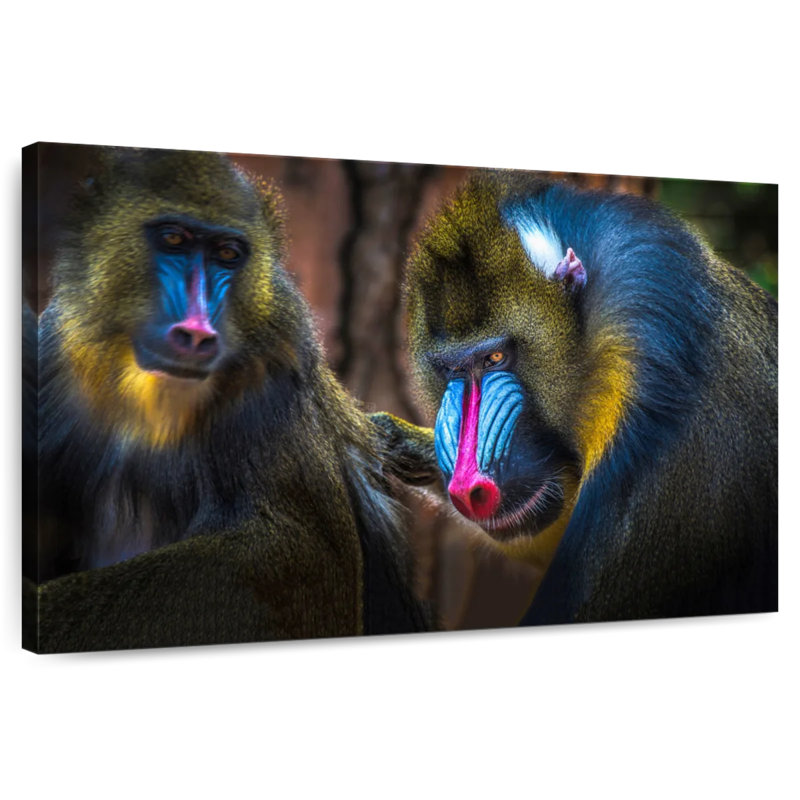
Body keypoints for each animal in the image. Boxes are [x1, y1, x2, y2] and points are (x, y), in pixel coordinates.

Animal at [23, 144, 434, 652]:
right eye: (173, 239)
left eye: (226, 255)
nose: (197, 332)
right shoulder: (55, 352)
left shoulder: (272, 372)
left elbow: (303, 558)